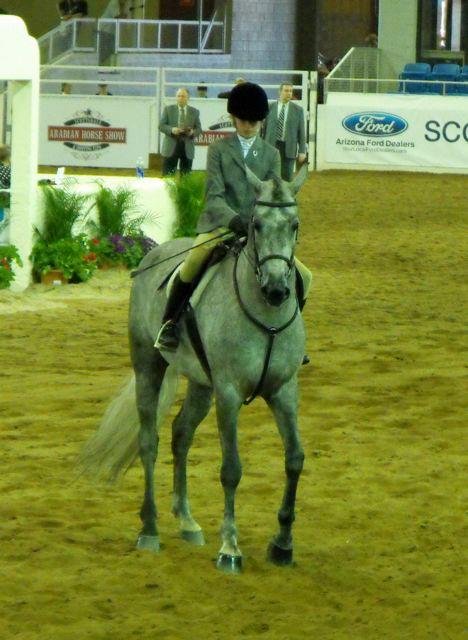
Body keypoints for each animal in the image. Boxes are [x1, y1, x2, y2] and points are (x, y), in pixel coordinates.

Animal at [77, 166, 308, 573]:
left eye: (294, 225)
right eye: (256, 224)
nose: (277, 290)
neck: (266, 317)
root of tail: (155, 253)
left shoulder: (284, 390)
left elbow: (294, 459)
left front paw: (282, 544)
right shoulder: (229, 394)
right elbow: (231, 469)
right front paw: (230, 549)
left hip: (202, 385)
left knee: (180, 434)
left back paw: (186, 522)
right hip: (149, 366)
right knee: (149, 441)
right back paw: (150, 529)